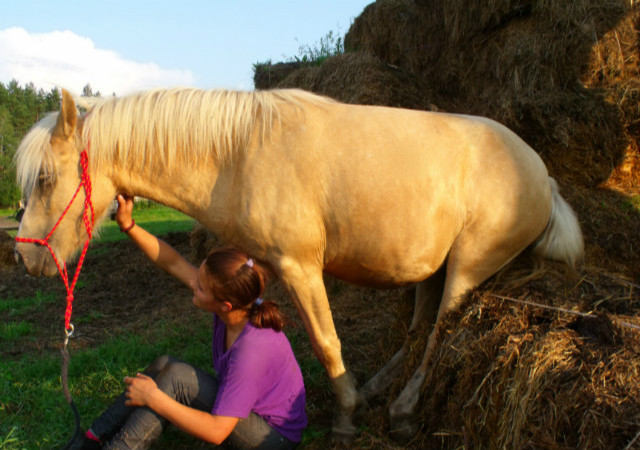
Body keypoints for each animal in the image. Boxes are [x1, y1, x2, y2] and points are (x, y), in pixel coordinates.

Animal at [15, 86, 584, 442]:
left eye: (44, 178)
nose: (24, 255)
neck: (236, 156)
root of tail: (543, 175)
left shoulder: (300, 267)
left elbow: (326, 341)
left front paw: (345, 418)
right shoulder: (267, 266)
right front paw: (355, 401)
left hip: (466, 269)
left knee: (439, 338)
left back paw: (400, 411)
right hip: (433, 270)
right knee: (419, 333)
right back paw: (378, 390)